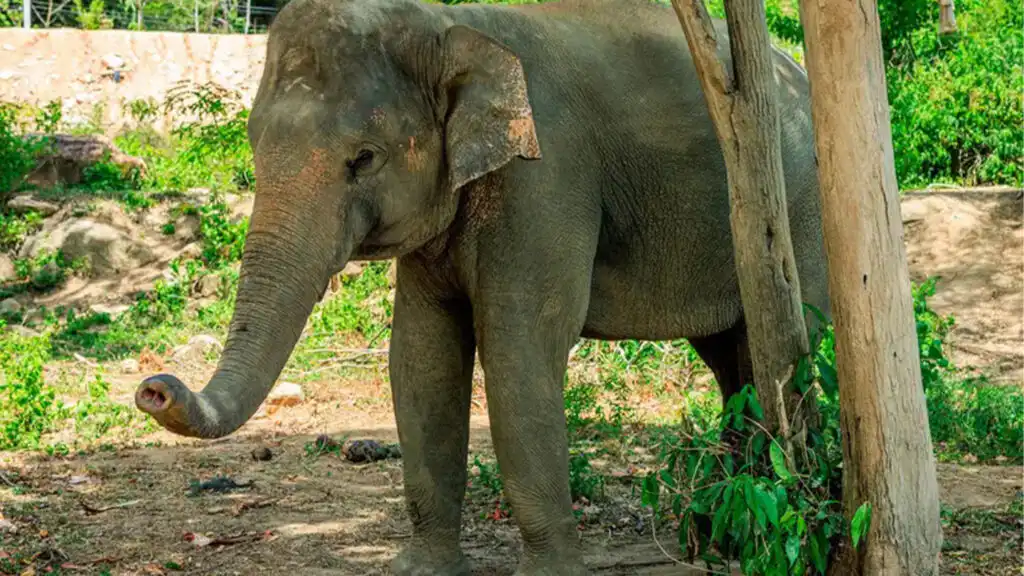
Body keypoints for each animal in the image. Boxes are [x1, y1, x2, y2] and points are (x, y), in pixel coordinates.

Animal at [134, 0, 831, 573]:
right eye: (254, 144)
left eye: (364, 158)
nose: (153, 388)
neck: (448, 26)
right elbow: (422, 356)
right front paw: (422, 570)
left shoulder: (548, 175)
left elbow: (519, 346)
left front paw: (550, 574)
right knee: (729, 360)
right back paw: (721, 537)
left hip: (800, 213)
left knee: (779, 351)